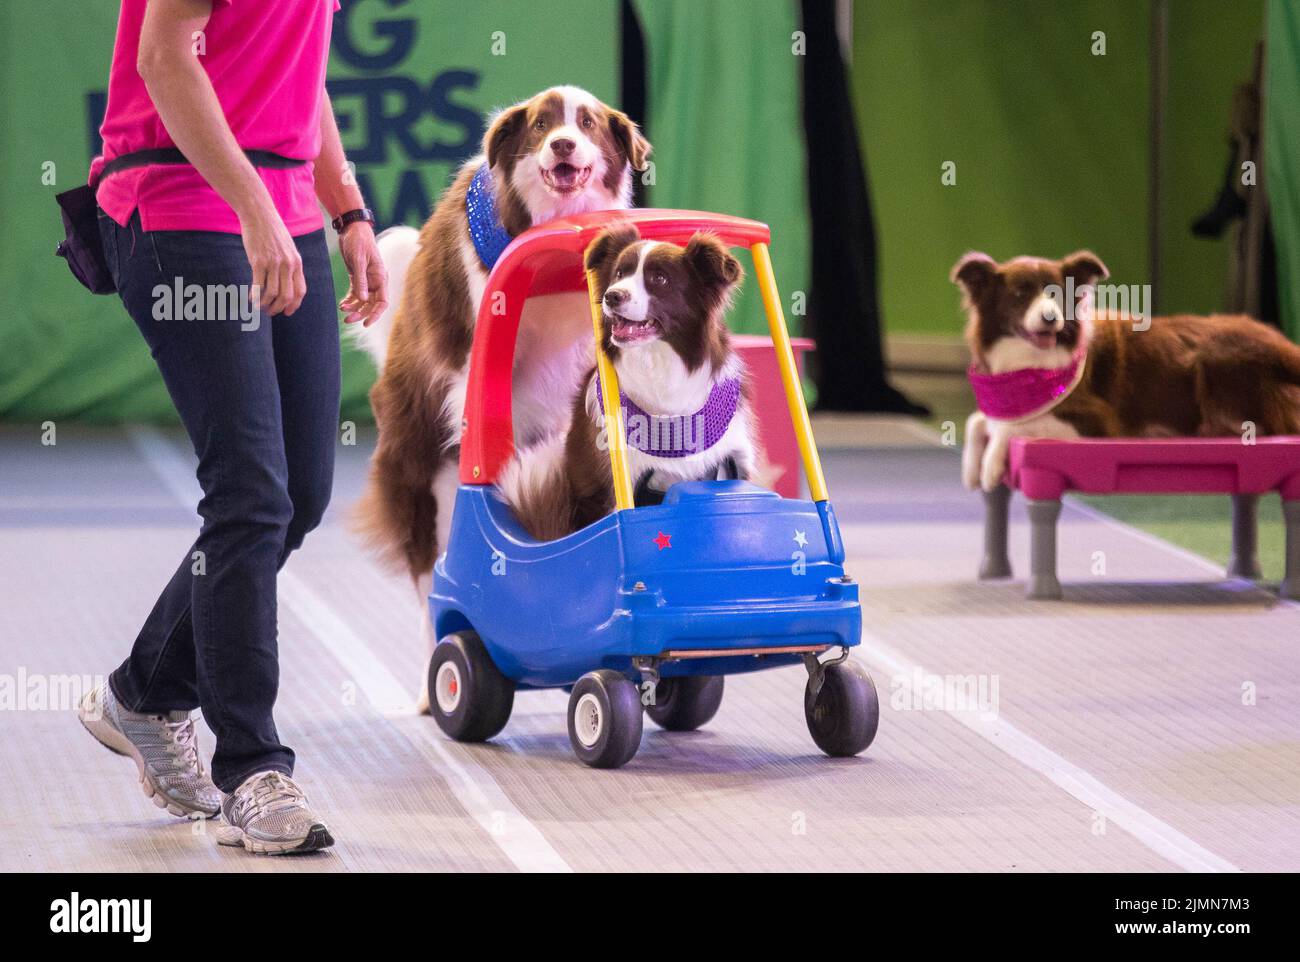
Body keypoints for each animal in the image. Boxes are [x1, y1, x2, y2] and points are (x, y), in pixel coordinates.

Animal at [353, 88, 650, 707]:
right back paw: (435, 683)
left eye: (587, 123)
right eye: (540, 125)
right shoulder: (477, 343)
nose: (562, 145)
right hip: (422, 476)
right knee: (433, 582)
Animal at [951, 249, 1300, 488]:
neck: (1031, 362)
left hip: (1216, 358)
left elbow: (1013, 425)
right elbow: (978, 419)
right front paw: (969, 467)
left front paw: (990, 464)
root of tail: (1285, 347)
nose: (1051, 318)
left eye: (1056, 293)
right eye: (1021, 293)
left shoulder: (1101, 422)